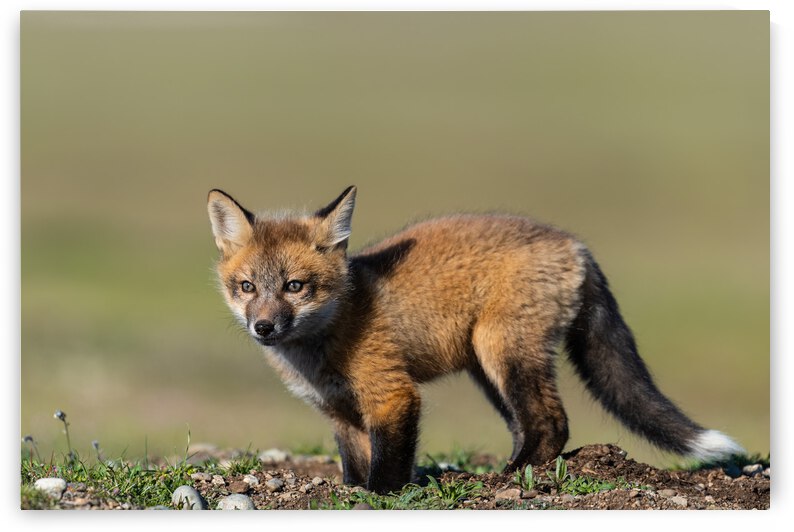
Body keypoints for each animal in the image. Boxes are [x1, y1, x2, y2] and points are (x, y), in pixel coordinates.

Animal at [207, 185, 744, 494]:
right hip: (486, 369)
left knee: (552, 424)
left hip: (502, 351)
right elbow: (353, 467)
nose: (264, 328)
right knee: (531, 425)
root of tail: (575, 243)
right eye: (247, 287)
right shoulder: (340, 411)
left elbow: (386, 467)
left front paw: (380, 498)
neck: (327, 337)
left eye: (295, 286)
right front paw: (352, 491)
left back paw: (510, 478)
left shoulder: (393, 394)